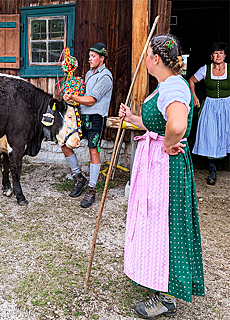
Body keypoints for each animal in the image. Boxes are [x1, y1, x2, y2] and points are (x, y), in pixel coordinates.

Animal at [0, 74, 81, 205]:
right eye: (69, 116)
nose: (77, 141)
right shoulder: (17, 142)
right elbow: (16, 168)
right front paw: (20, 196)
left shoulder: (5, 143)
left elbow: (5, 165)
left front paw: (7, 189)